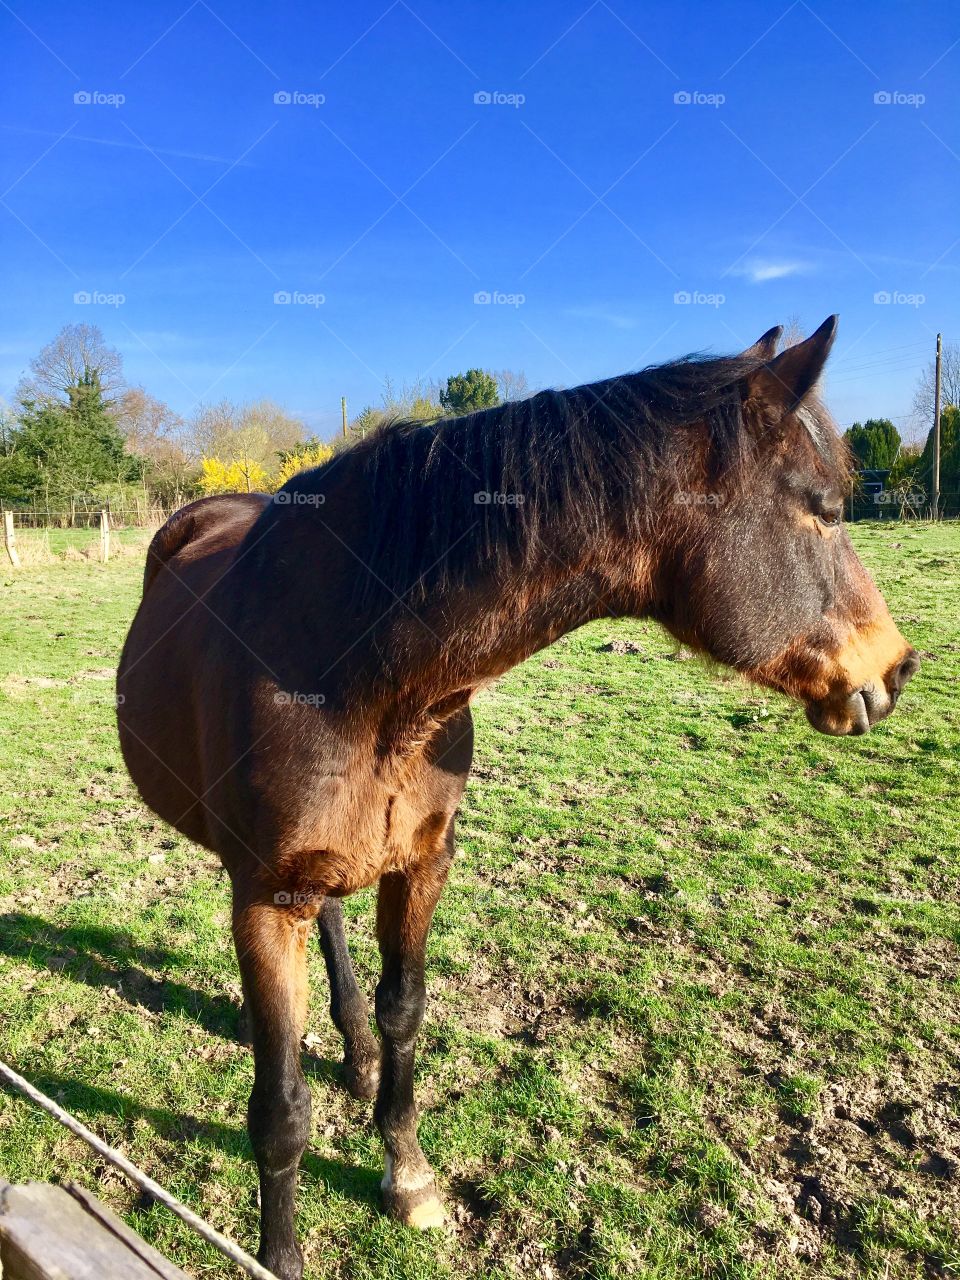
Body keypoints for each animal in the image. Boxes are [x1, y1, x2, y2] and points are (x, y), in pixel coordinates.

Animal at [116, 314, 921, 1274]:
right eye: (825, 507)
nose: (897, 668)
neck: (357, 671)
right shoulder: (265, 899)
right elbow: (279, 1111)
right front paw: (278, 1255)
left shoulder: (423, 862)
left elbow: (403, 1011)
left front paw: (407, 1174)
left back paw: (353, 1053)